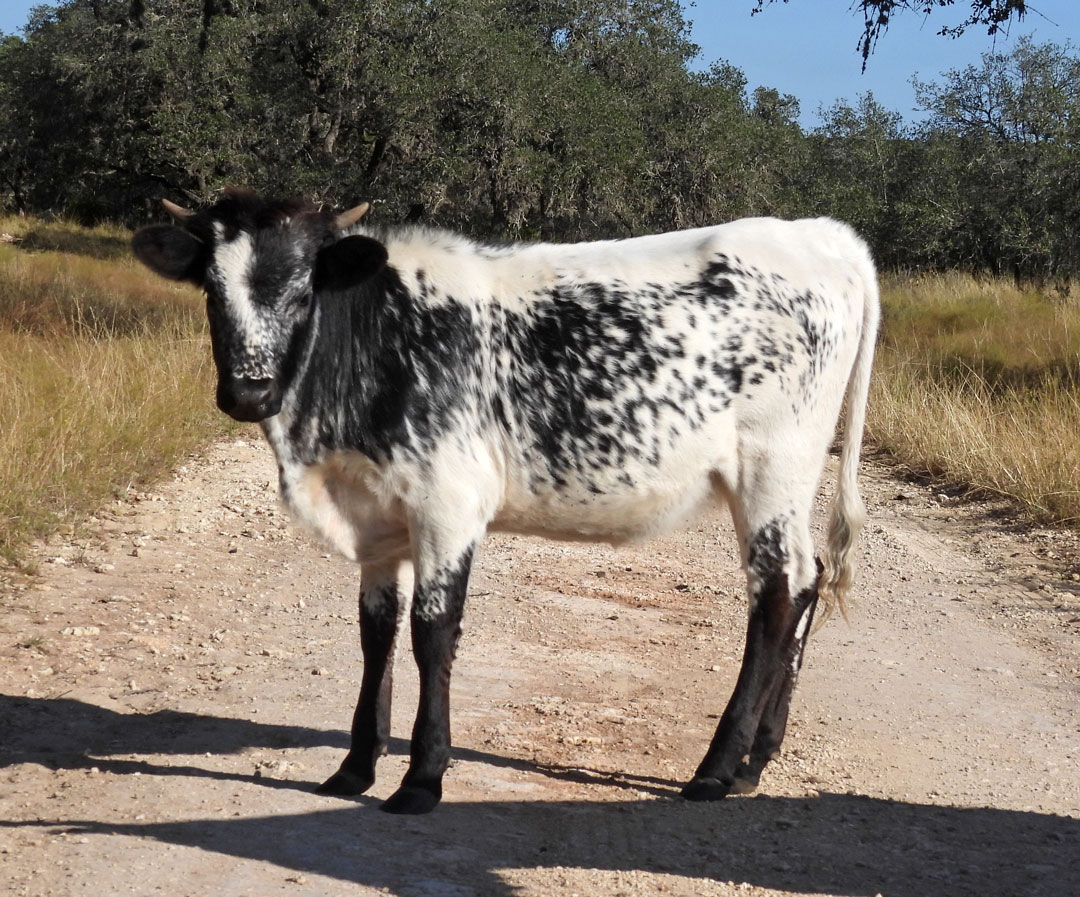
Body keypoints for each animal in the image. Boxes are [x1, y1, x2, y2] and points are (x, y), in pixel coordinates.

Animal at [135, 189, 876, 811]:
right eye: (211, 291)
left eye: (301, 290)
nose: (248, 392)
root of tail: (822, 235)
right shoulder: (375, 517)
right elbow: (376, 633)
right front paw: (355, 766)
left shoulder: (447, 503)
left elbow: (432, 632)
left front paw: (421, 778)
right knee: (807, 582)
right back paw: (755, 760)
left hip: (771, 467)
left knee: (776, 594)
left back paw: (716, 768)